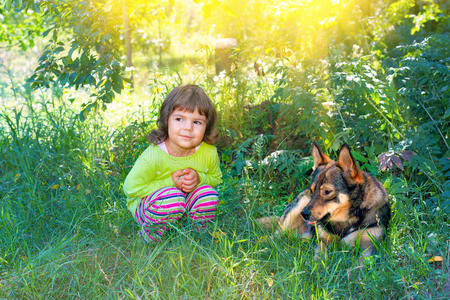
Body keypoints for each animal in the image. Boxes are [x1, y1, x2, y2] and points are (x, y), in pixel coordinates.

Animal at [258, 143, 392, 258]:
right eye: (312, 190)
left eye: (327, 192)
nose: (304, 214)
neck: (347, 219)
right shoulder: (323, 240)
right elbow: (320, 255)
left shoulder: (369, 244)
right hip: (296, 208)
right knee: (276, 236)